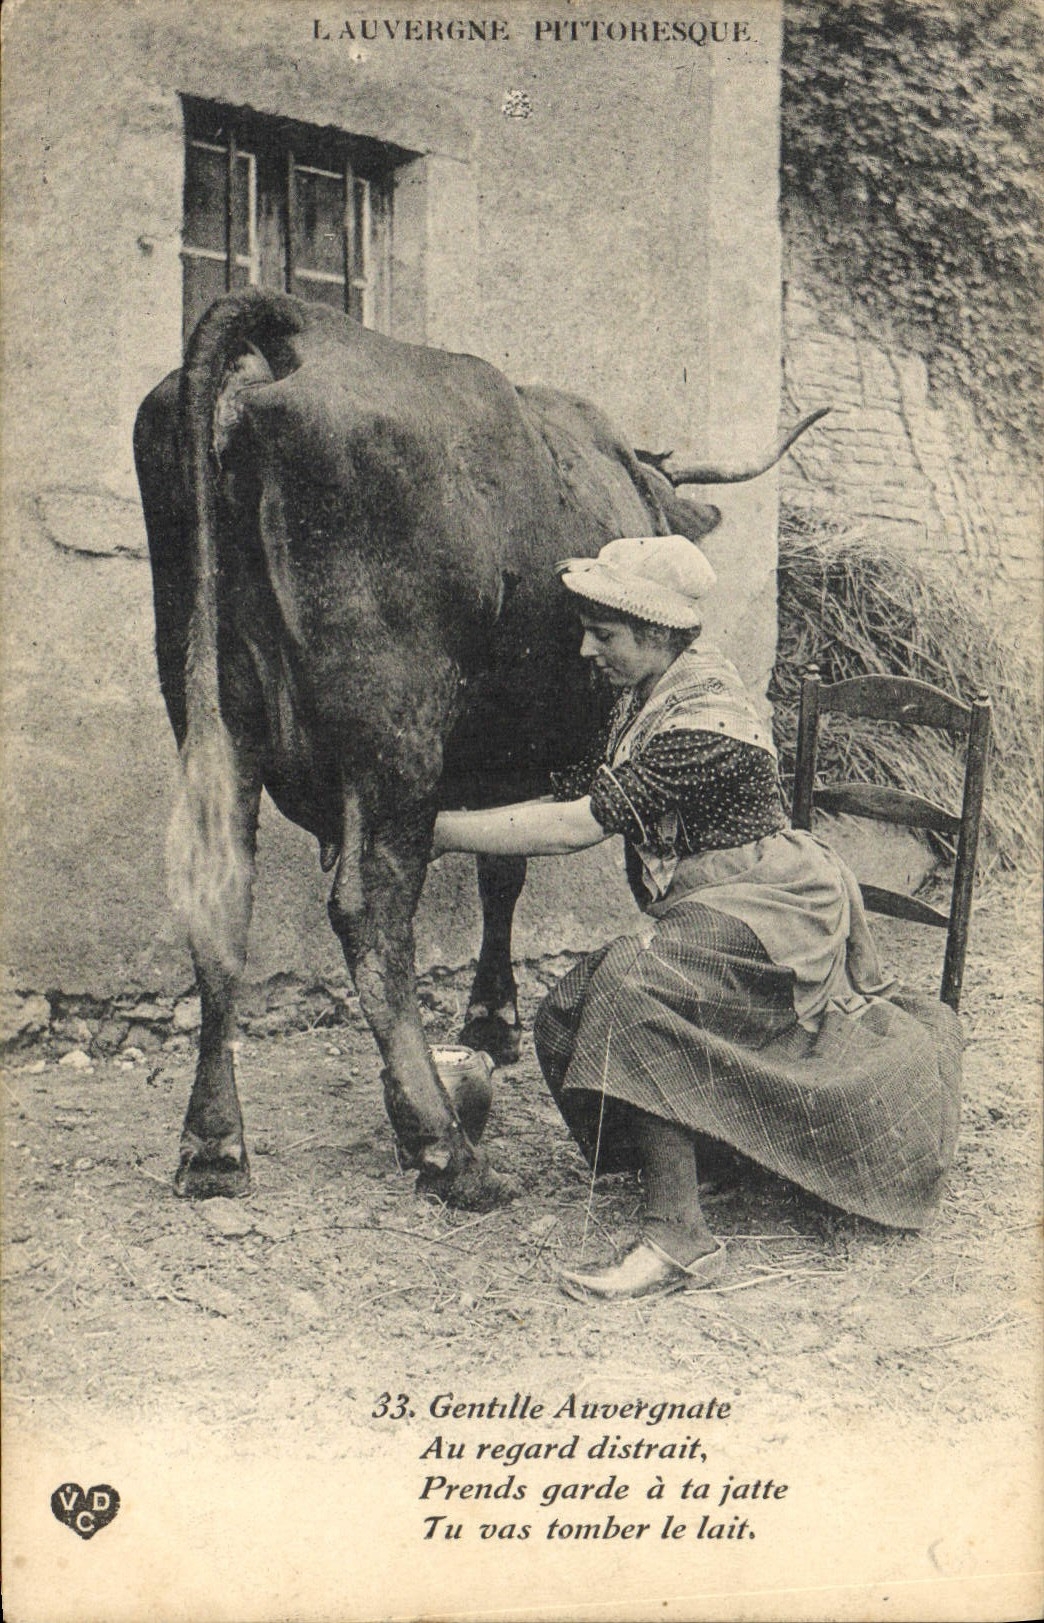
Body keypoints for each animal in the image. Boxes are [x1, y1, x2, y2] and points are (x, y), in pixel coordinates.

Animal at [134, 289, 824, 1210]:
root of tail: (297, 328)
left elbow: (501, 867)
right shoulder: (528, 753)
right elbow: (509, 875)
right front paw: (494, 1019)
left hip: (211, 708)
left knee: (219, 901)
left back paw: (215, 1143)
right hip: (395, 728)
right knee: (371, 910)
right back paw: (446, 1148)